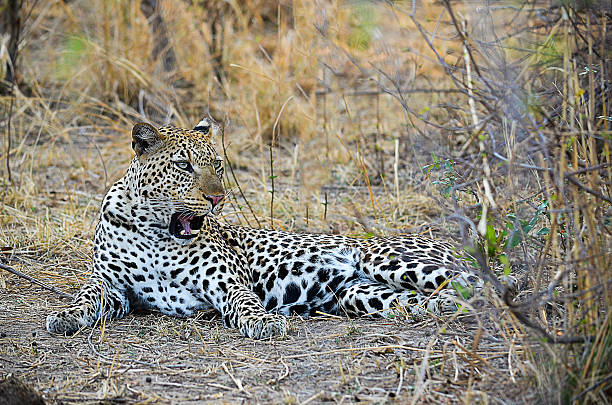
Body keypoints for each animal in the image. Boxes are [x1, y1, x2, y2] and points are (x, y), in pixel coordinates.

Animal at [45, 117, 480, 338]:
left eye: (217, 165)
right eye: (183, 166)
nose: (216, 198)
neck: (154, 231)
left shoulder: (227, 283)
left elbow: (244, 303)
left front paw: (265, 321)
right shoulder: (111, 285)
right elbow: (86, 296)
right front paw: (65, 316)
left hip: (384, 258)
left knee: (480, 284)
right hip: (360, 294)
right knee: (431, 299)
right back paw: (446, 308)